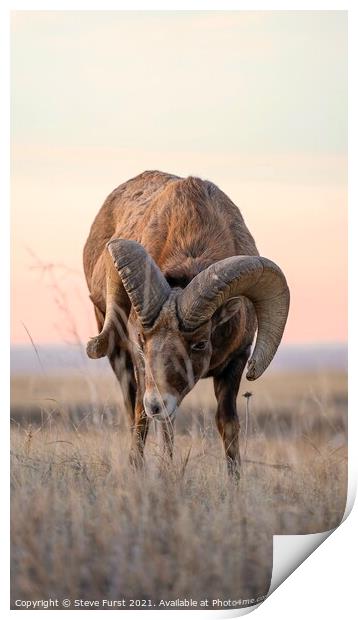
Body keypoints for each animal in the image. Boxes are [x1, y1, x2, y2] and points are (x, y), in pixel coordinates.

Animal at [82, 171, 290, 474]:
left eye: (200, 343)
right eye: (142, 340)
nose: (157, 404)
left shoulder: (237, 362)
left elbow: (228, 426)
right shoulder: (140, 364)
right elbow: (143, 420)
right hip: (118, 357)